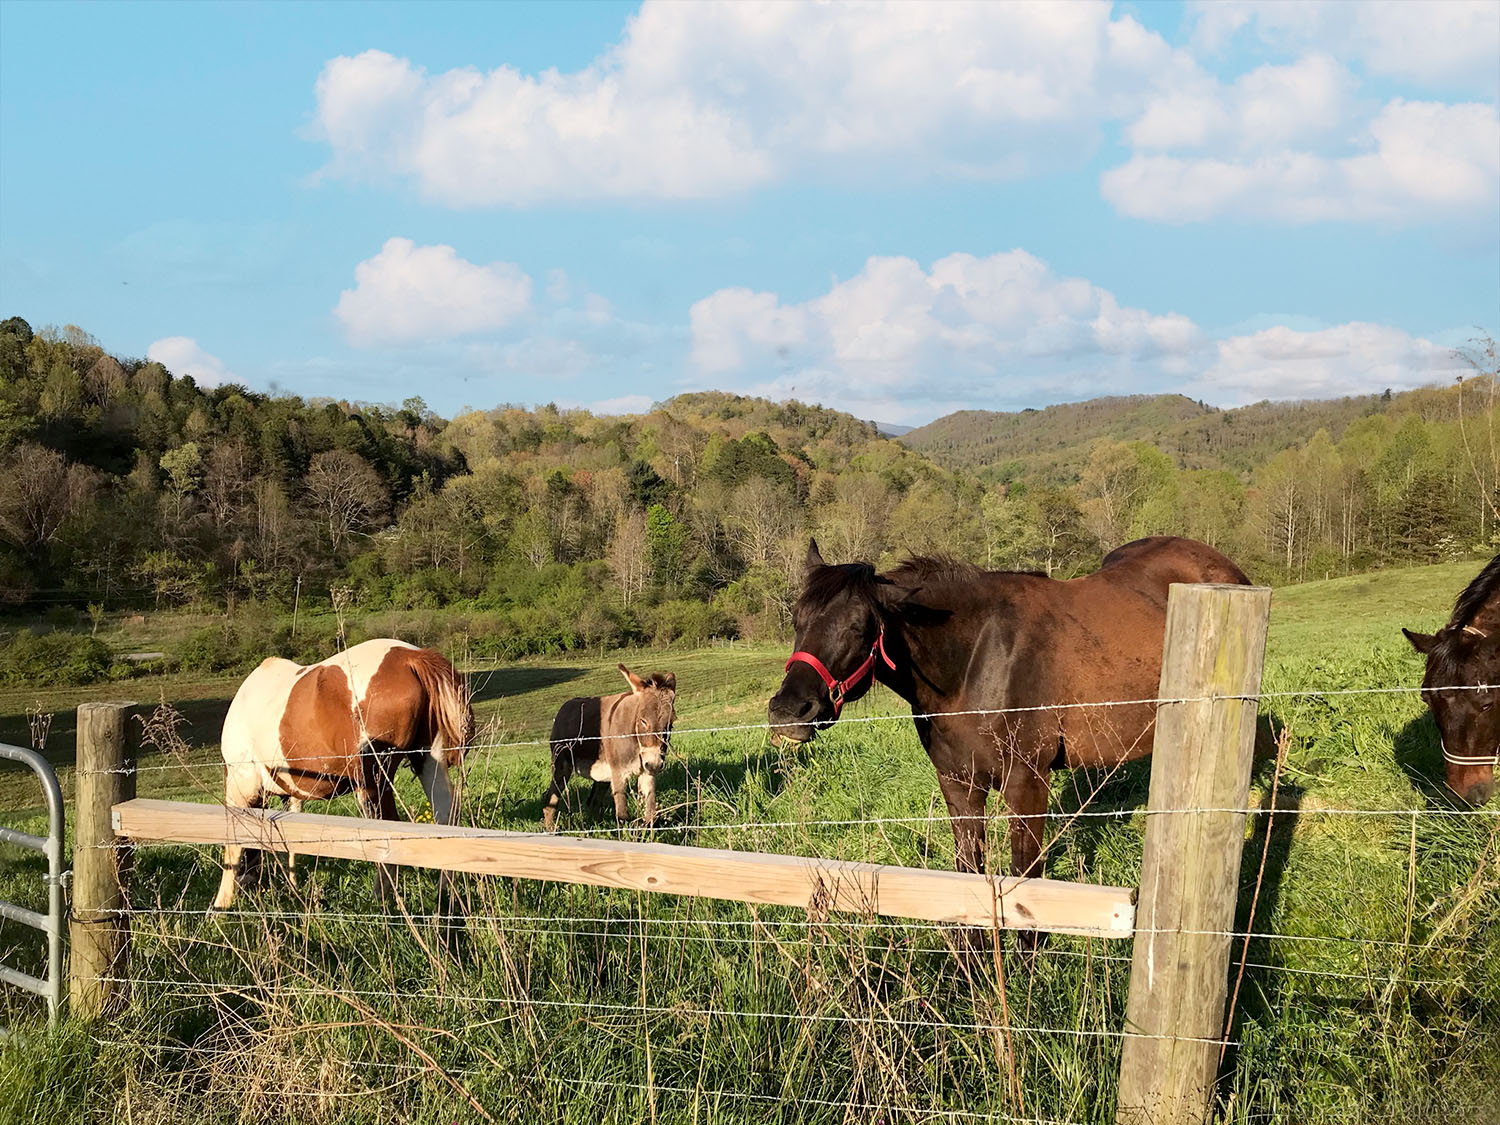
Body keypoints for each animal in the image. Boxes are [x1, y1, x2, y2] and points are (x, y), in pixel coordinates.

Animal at [211, 638, 474, 910]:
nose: (250, 886)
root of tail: (411, 658)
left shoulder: (242, 787)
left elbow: (233, 844)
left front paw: (222, 903)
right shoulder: (291, 795)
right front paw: (293, 890)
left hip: (372, 781)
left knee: (388, 828)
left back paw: (380, 899)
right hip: (428, 759)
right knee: (446, 816)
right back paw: (446, 896)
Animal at [543, 664, 676, 830]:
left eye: (670, 724)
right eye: (643, 721)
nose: (655, 764)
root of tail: (565, 706)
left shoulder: (647, 773)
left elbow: (650, 815)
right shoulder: (618, 772)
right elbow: (622, 815)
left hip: (603, 775)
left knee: (593, 802)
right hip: (562, 766)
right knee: (551, 801)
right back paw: (550, 829)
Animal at [767, 537, 1250, 883]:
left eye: (860, 627)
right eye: (796, 619)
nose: (788, 711)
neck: (976, 662)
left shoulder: (1027, 783)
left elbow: (1025, 878)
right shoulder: (959, 784)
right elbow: (969, 872)